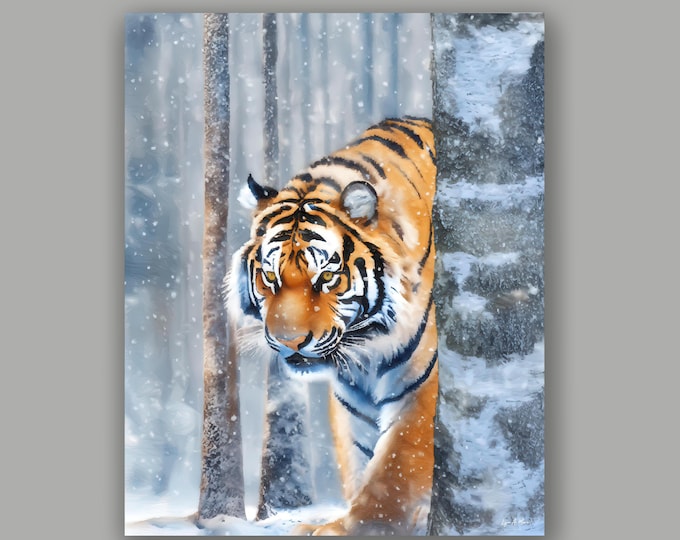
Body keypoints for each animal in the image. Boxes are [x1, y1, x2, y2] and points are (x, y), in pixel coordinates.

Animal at [226, 117, 439, 536]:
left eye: (325, 276)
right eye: (270, 277)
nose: (289, 342)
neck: (367, 346)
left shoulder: (422, 381)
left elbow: (394, 470)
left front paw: (355, 527)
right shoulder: (350, 397)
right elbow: (360, 461)